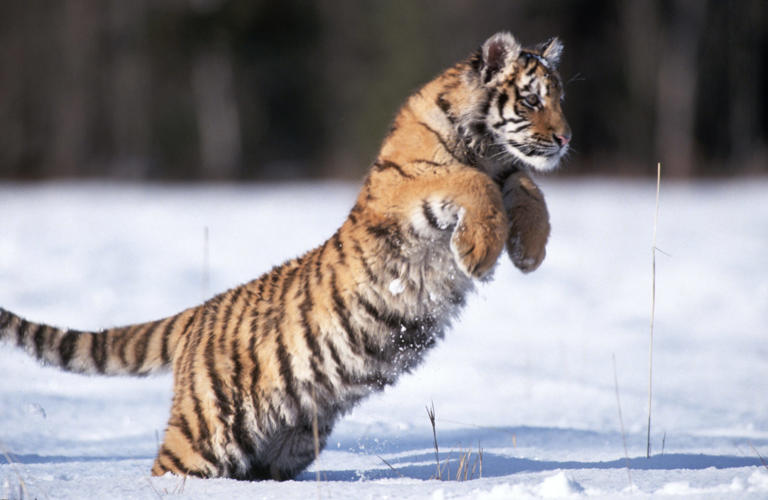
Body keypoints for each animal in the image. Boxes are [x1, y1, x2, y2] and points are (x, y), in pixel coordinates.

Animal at [0, 31, 570, 480]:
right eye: (532, 100)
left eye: (560, 99)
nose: (566, 138)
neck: (485, 144)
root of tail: (198, 313)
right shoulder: (408, 187)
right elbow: (475, 183)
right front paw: (480, 252)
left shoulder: (506, 170)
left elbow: (527, 187)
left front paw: (529, 251)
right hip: (205, 431)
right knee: (166, 469)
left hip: (288, 441)